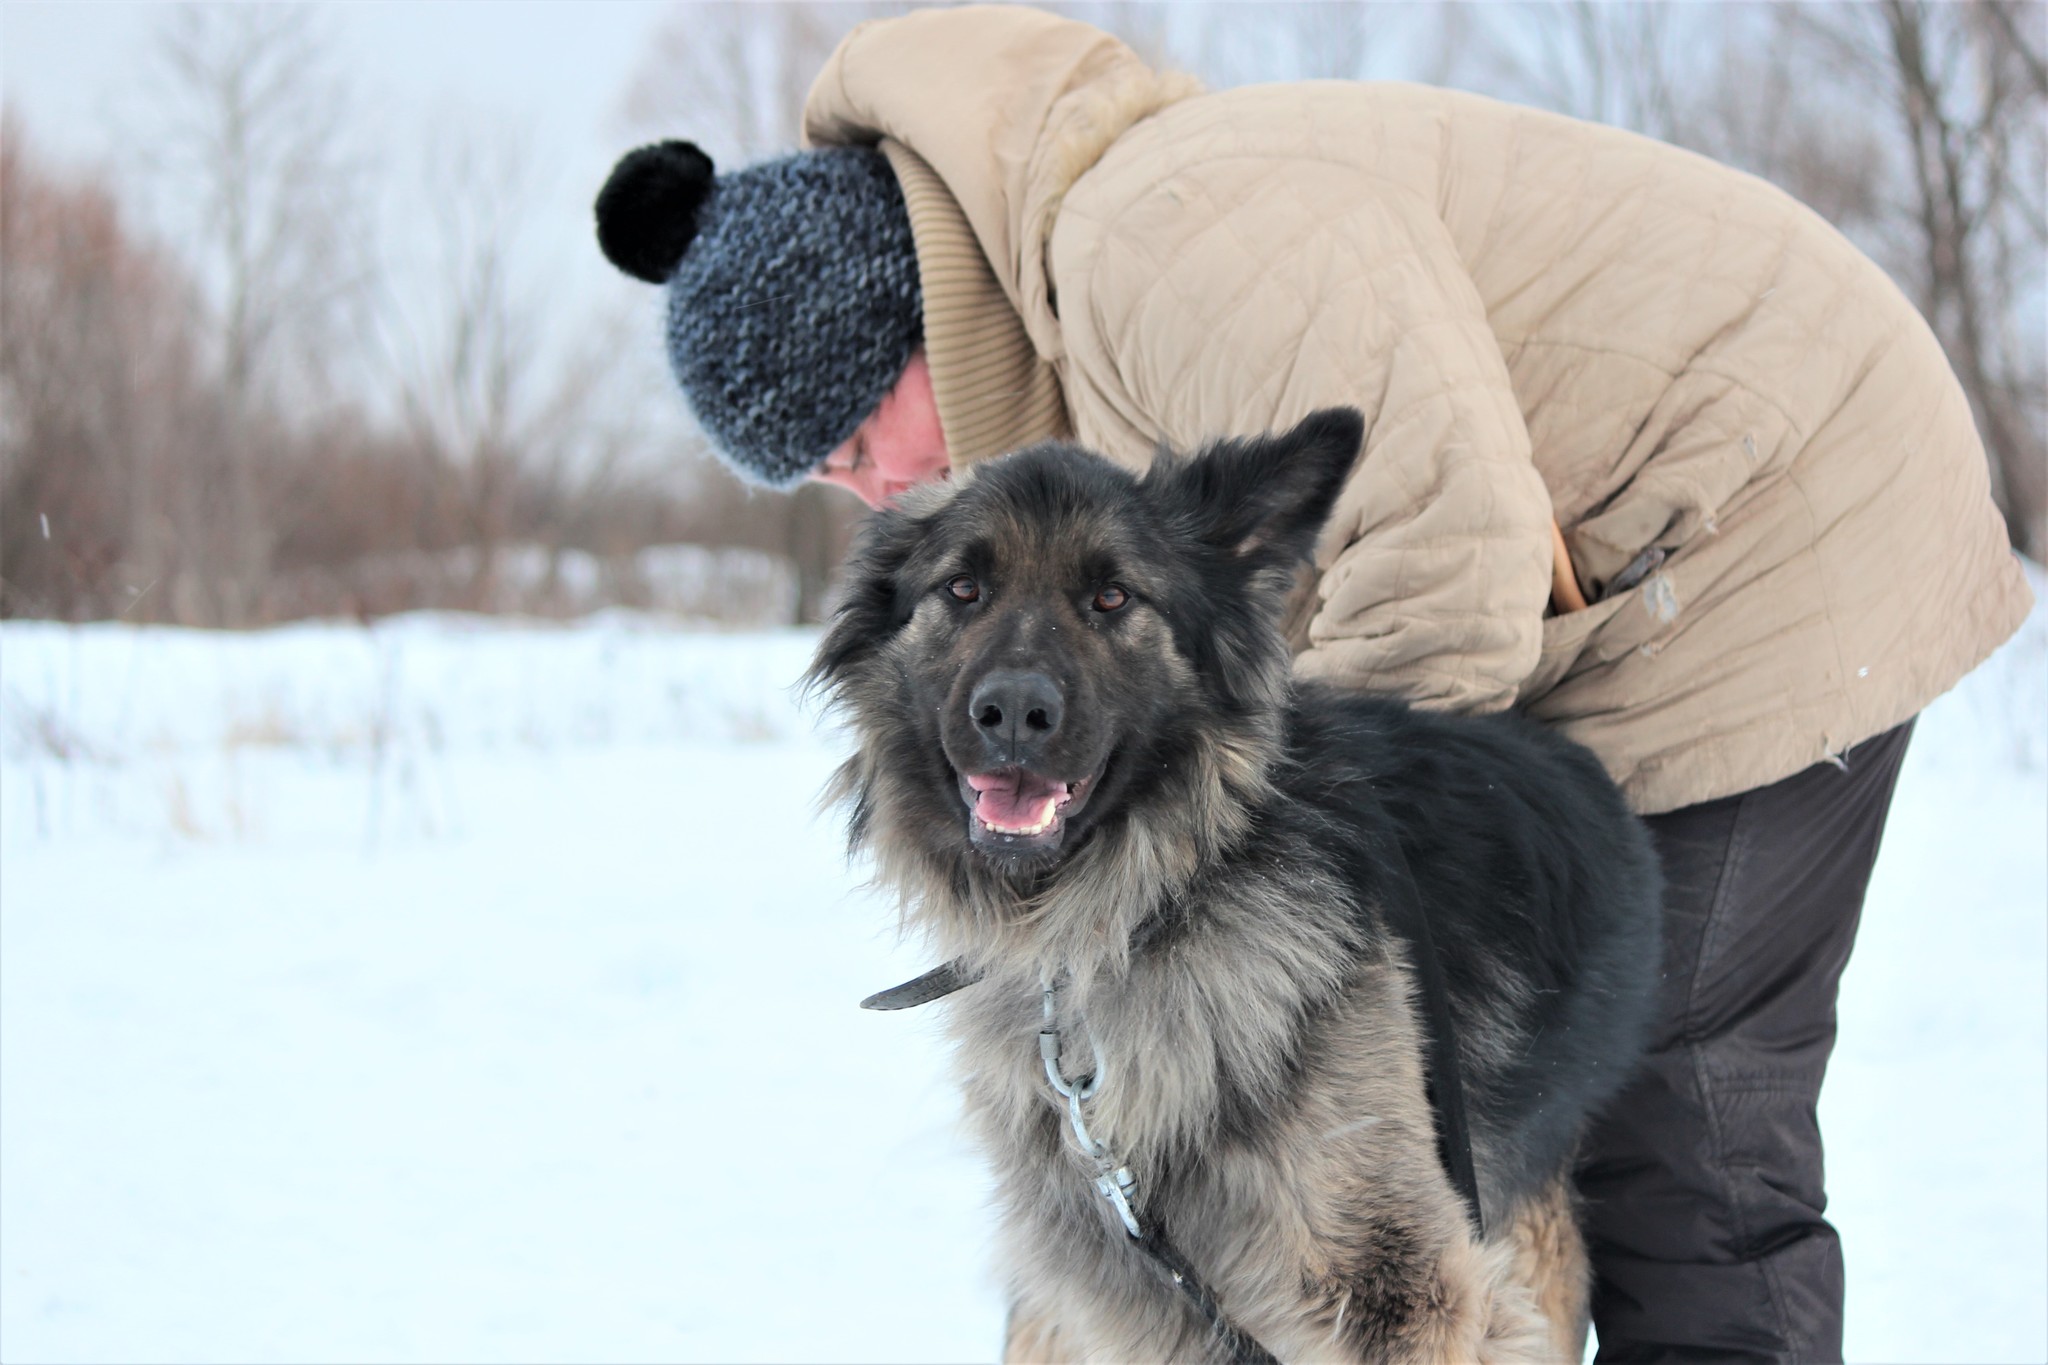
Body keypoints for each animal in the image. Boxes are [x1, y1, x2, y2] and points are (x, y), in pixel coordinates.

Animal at [806, 411, 1671, 1358]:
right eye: (962, 588)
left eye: (1113, 599)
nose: (1013, 716)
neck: (1130, 914)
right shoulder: (1143, 1298)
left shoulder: (1401, 1287)